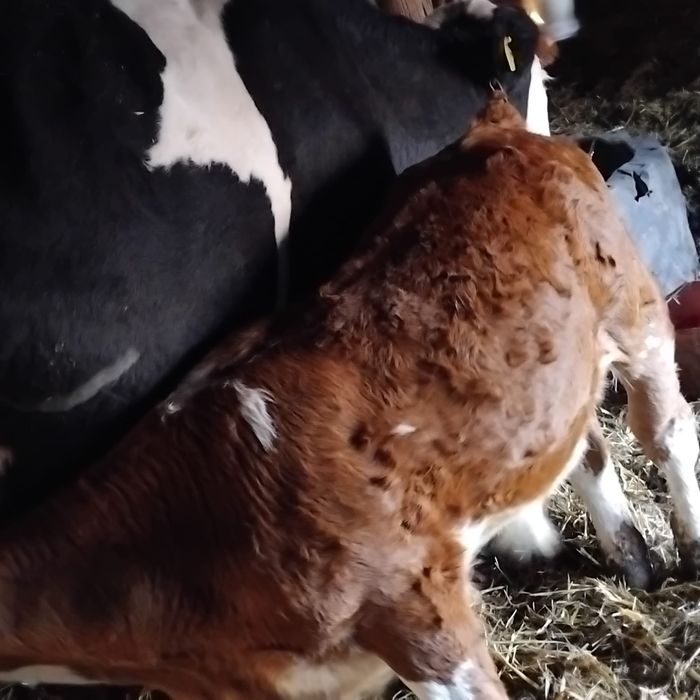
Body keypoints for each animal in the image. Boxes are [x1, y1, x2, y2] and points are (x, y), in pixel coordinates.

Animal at [0, 90, 697, 699]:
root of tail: (497, 129)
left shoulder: (418, 603)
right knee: (586, 442)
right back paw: (633, 558)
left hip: (635, 312)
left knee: (666, 431)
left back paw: (687, 546)